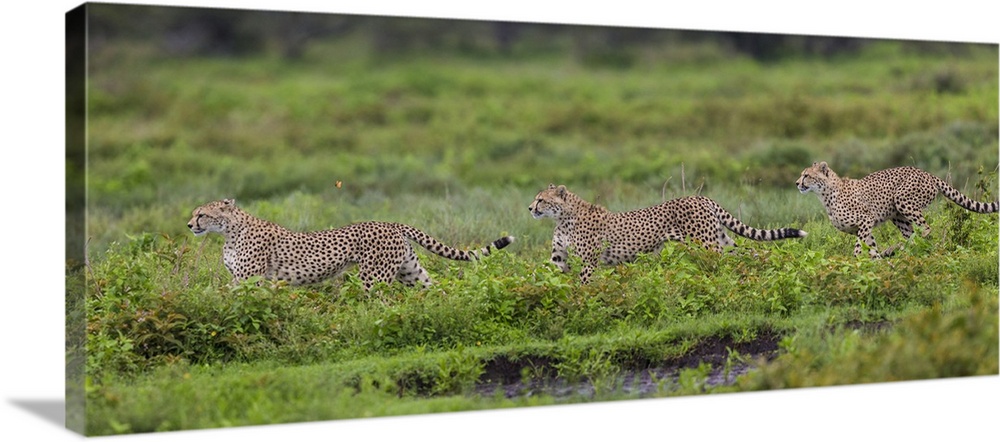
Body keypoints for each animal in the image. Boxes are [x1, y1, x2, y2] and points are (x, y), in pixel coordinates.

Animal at [188, 199, 516, 290]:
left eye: (202, 214)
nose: (190, 225)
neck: (230, 231)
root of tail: (391, 223)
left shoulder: (248, 280)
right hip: (410, 272)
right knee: (435, 292)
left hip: (373, 277)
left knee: (383, 305)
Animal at [528, 183, 808, 284]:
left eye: (541, 199)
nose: (530, 208)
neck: (562, 218)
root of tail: (701, 197)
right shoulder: (559, 258)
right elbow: (548, 274)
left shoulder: (588, 260)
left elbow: (584, 283)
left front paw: (582, 301)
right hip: (721, 241)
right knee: (746, 253)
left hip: (706, 244)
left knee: (725, 262)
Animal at [792, 161, 996, 258]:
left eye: (806, 176)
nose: (796, 183)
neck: (826, 194)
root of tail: (926, 172)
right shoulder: (862, 228)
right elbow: (871, 247)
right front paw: (875, 263)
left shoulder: (866, 219)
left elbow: (859, 247)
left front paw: (855, 262)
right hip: (897, 216)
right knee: (912, 234)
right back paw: (895, 250)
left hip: (902, 200)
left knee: (925, 229)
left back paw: (896, 248)